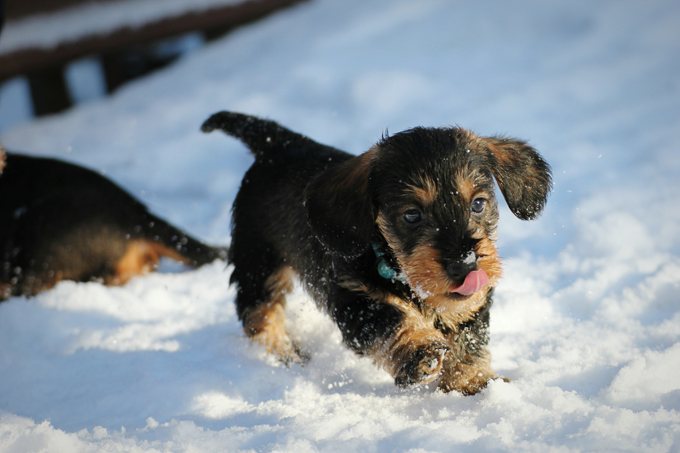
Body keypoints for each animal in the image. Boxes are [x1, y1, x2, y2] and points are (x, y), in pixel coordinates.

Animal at [203, 111, 552, 394]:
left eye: (478, 203)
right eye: (412, 215)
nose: (465, 265)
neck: (396, 266)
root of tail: (275, 144)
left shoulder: (470, 302)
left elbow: (469, 338)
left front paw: (472, 382)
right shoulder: (354, 299)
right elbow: (392, 318)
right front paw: (420, 352)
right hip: (259, 258)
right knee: (259, 313)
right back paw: (282, 354)